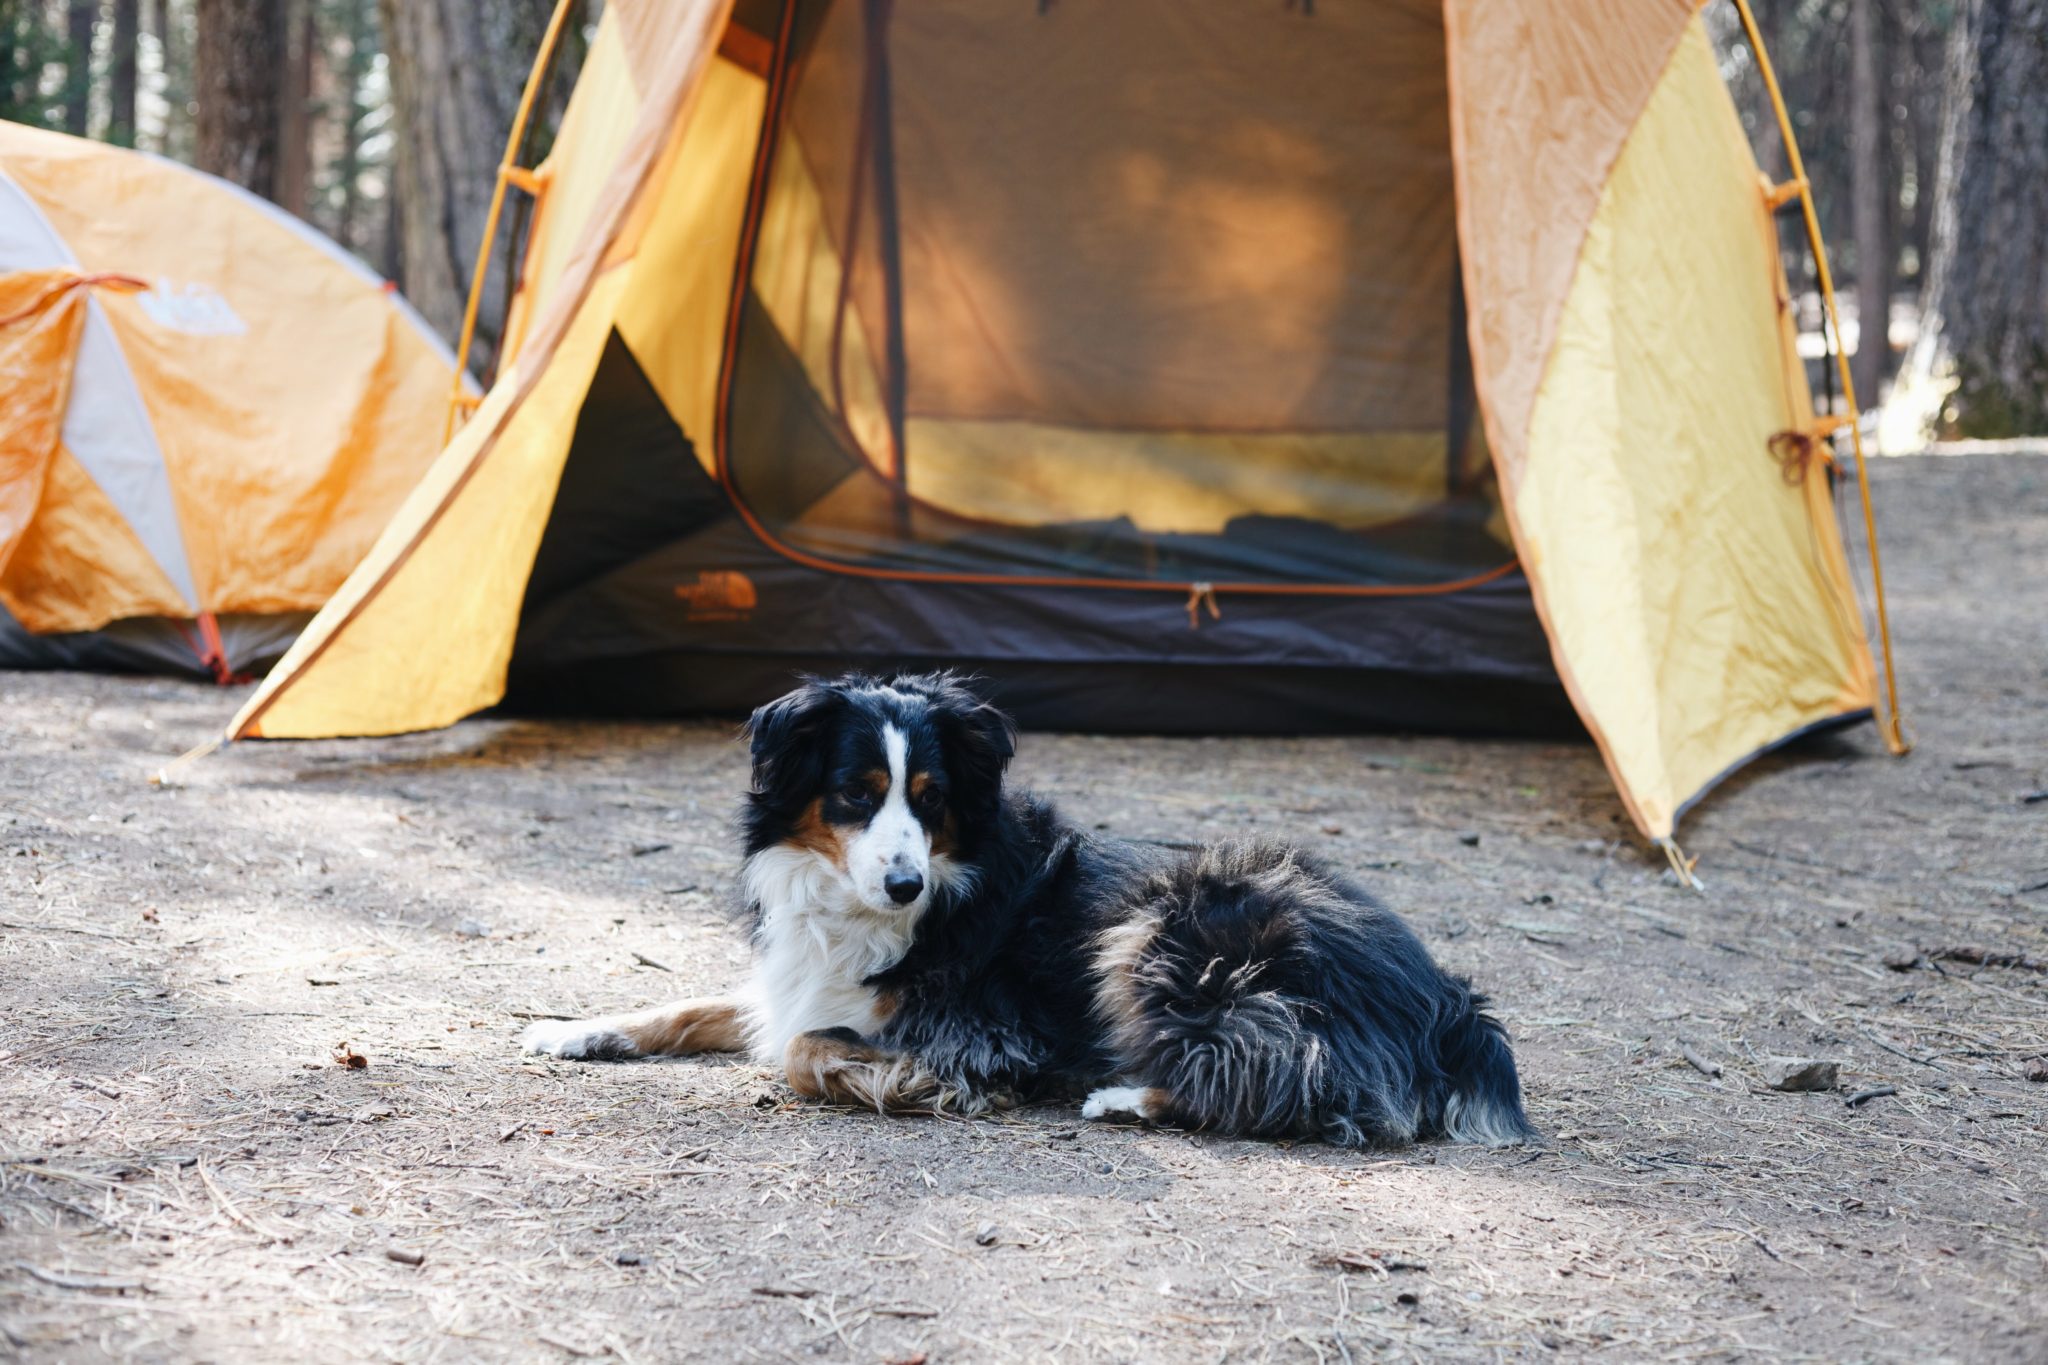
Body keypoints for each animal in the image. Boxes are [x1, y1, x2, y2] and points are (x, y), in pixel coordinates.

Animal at [520, 671, 1531, 1146]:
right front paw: (576, 1028)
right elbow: (705, 1005)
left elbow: (808, 1052)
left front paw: (910, 1082)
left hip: (1168, 930)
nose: (905, 885)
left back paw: (1126, 1095)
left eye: (930, 797)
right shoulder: (800, 978)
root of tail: (1448, 997)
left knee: (1301, 1082)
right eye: (855, 793)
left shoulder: (984, 1027)